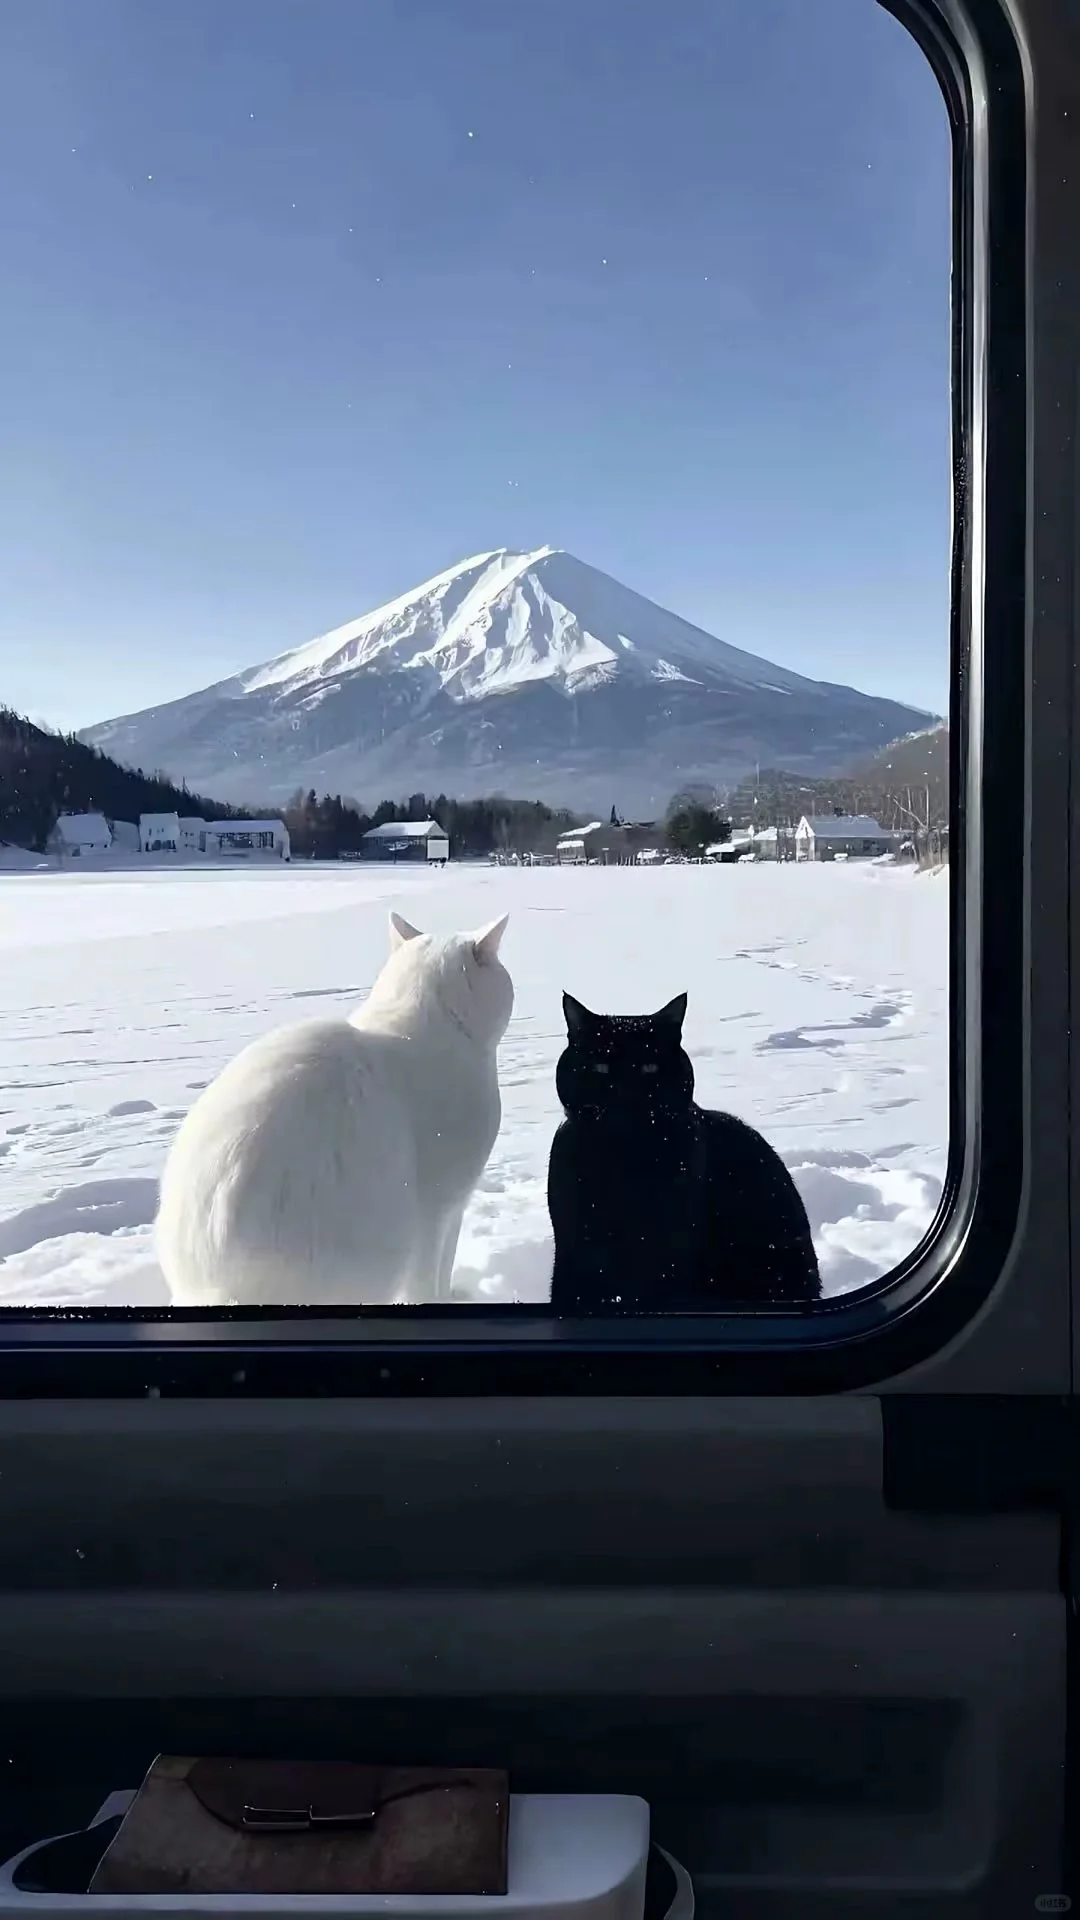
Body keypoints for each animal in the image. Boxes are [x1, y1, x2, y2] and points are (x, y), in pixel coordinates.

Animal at [545, 990, 814, 1320]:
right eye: (600, 1067)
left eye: (649, 1067)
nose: (624, 1090)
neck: (623, 1159)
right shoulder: (574, 1249)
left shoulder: (670, 1255)